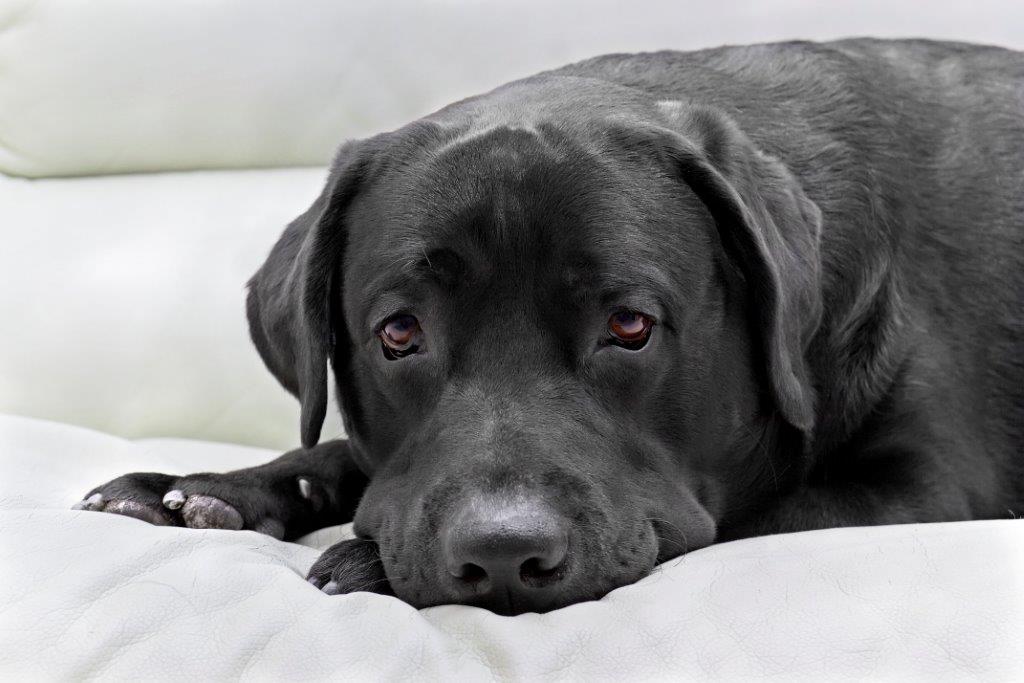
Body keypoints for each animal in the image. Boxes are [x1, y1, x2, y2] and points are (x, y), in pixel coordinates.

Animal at [77, 40, 1024, 618]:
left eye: (630, 324)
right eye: (399, 332)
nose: (503, 554)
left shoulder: (920, 488)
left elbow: (752, 514)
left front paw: (363, 558)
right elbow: (348, 452)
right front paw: (212, 485)